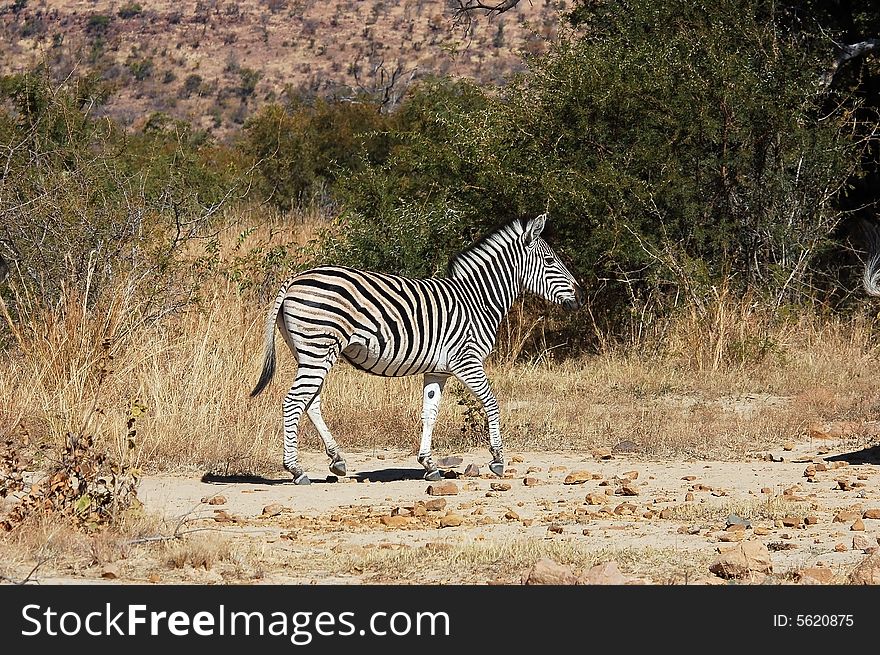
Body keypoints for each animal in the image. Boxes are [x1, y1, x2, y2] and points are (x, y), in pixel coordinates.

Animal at [251, 213, 580, 484]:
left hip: (310, 352)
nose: (579, 297)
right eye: (550, 261)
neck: (477, 299)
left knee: (311, 402)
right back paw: (296, 469)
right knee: (294, 401)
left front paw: (429, 465)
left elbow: (429, 413)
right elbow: (491, 402)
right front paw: (498, 459)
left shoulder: (439, 371)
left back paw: (337, 460)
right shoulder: (467, 360)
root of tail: (294, 279)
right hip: (318, 347)